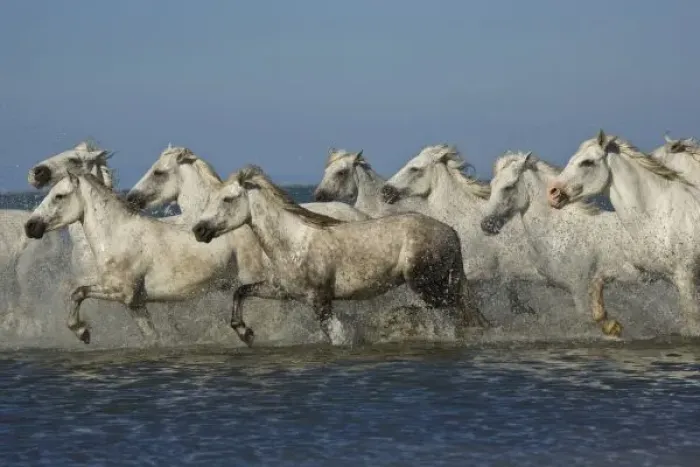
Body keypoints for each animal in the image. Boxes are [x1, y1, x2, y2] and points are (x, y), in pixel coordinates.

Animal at [24, 172, 248, 345]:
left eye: (59, 196)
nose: (30, 226)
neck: (117, 237)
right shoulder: (135, 304)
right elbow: (152, 337)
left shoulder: (121, 292)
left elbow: (78, 292)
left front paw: (82, 332)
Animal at [191, 165, 489, 345]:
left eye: (228, 199)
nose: (198, 230)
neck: (293, 243)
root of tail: (450, 232)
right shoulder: (282, 291)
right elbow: (240, 292)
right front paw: (246, 333)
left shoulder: (320, 301)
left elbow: (338, 337)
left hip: (423, 283)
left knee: (448, 310)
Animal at [481, 150, 653, 337]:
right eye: (492, 184)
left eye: (508, 186)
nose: (486, 224)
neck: (561, 233)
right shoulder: (552, 281)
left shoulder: (579, 289)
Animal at [548, 130, 700, 335]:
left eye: (587, 162)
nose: (552, 193)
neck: (658, 215)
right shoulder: (641, 271)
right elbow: (598, 279)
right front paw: (609, 324)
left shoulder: (686, 276)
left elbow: (692, 320)